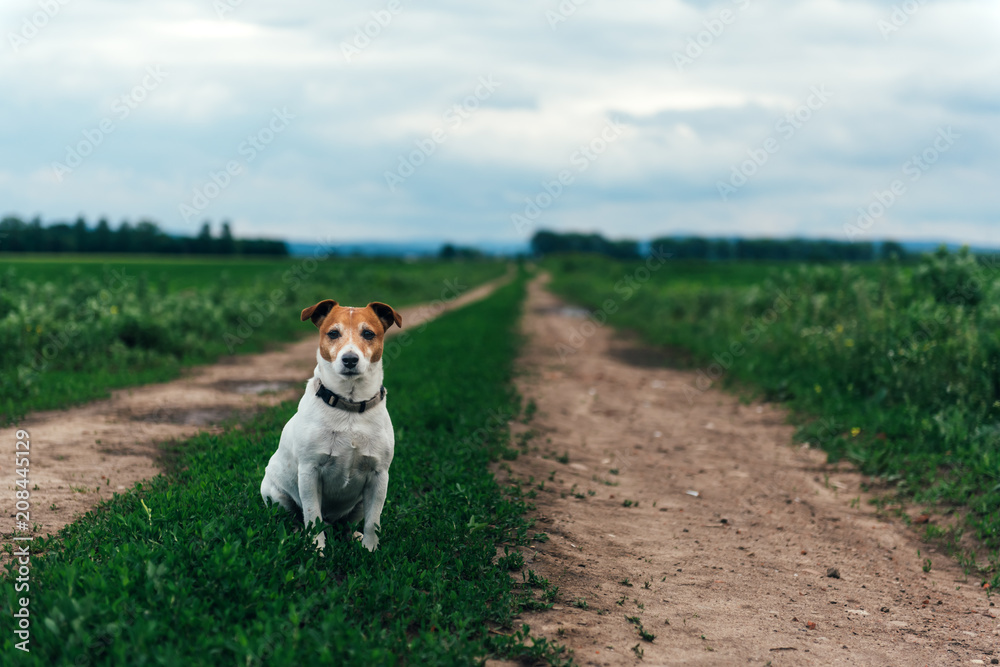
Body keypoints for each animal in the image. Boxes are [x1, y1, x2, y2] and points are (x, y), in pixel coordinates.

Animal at [262, 300, 402, 552]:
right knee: (294, 518)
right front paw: (316, 548)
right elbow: (312, 516)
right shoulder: (309, 472)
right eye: (333, 333)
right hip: (276, 496)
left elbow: (373, 522)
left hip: (359, 504)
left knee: (348, 524)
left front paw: (370, 550)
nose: (350, 359)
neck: (350, 406)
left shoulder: (379, 476)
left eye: (368, 333)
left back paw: (352, 537)